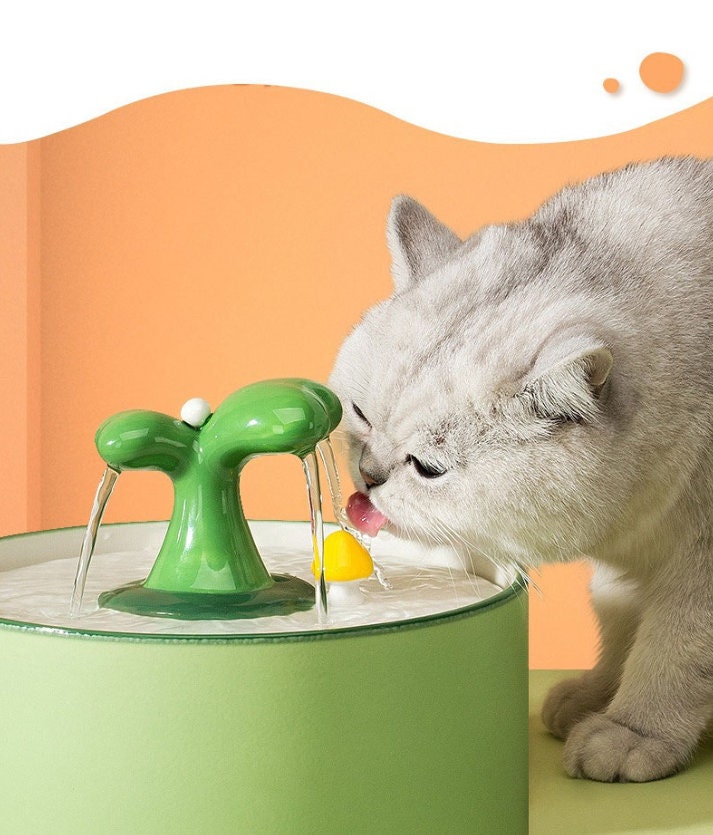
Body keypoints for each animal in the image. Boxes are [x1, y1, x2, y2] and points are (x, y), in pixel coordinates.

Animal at [328, 158, 712, 784]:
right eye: (361, 414)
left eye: (427, 468)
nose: (368, 474)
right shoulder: (629, 565)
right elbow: (620, 623)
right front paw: (596, 694)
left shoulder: (701, 570)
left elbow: (673, 649)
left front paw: (632, 729)